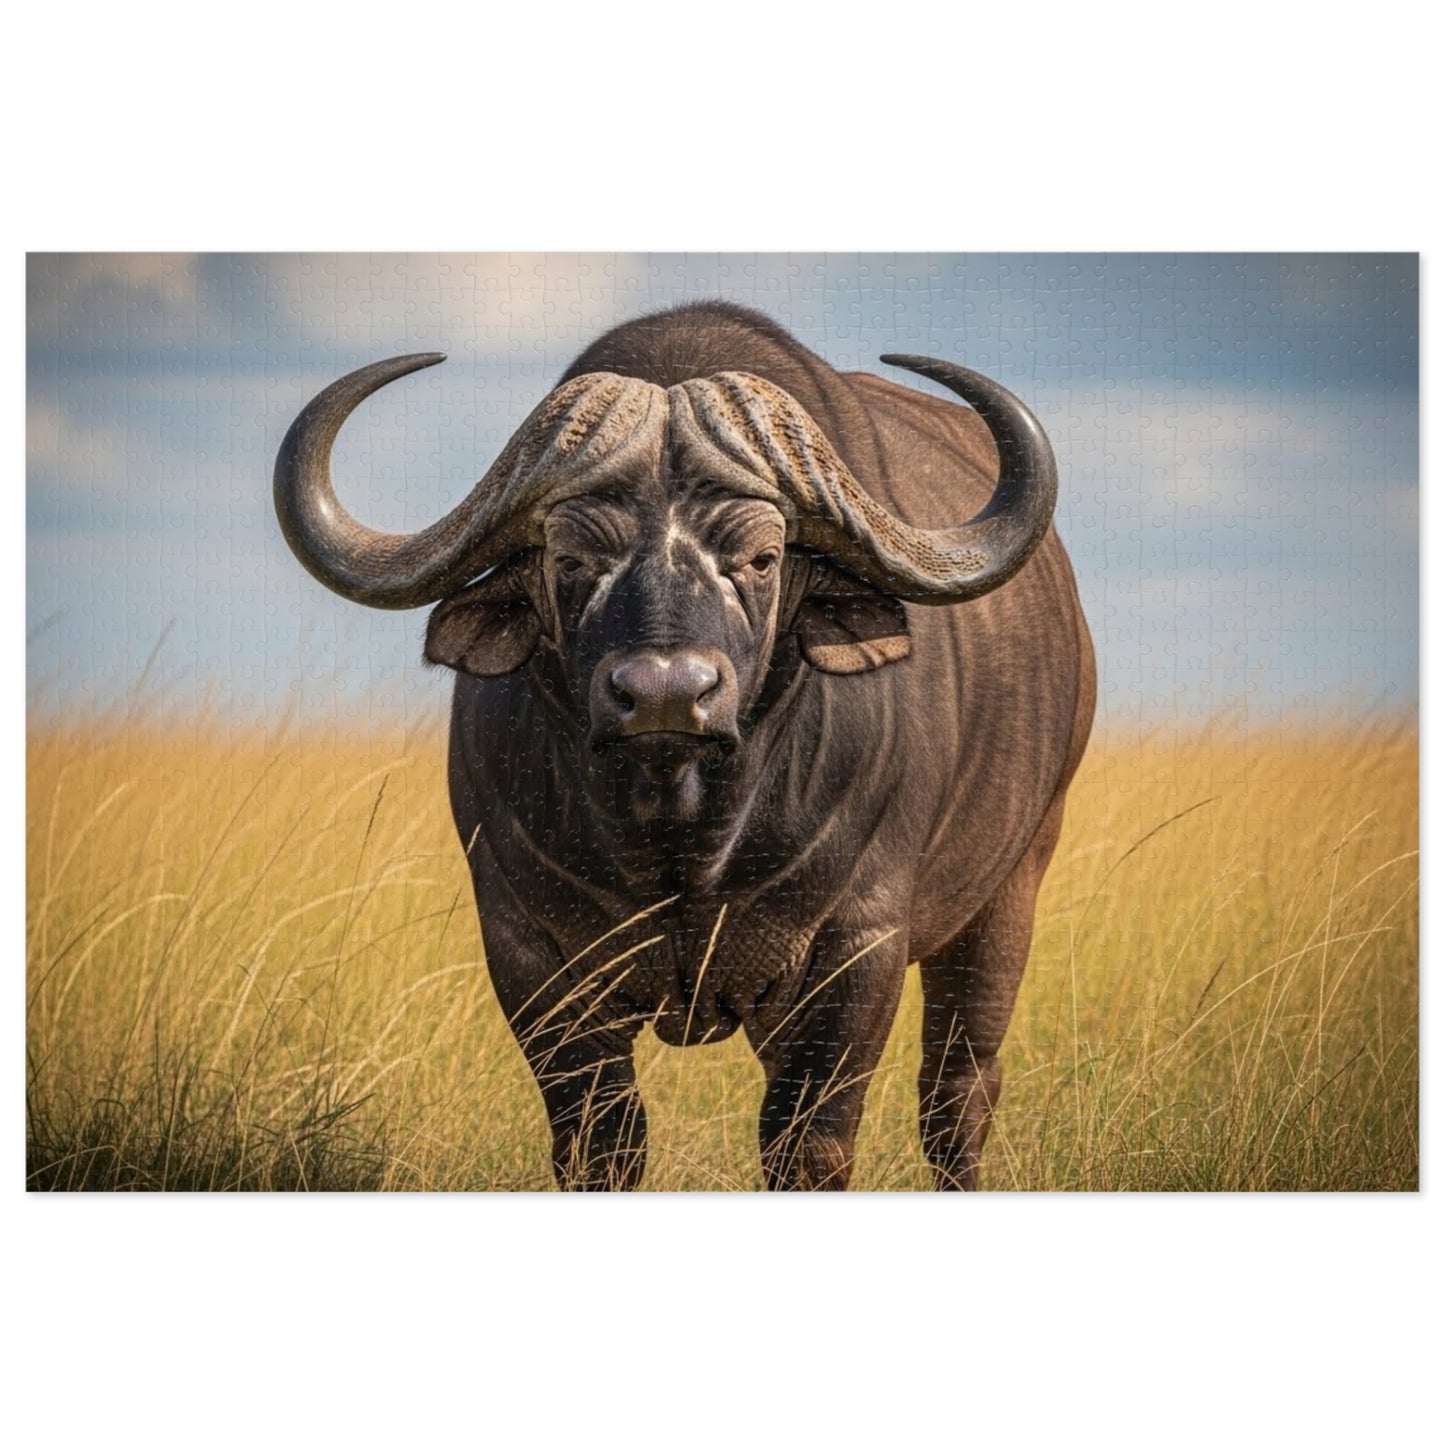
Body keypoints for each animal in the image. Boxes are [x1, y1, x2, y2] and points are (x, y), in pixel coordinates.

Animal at [274, 302, 1095, 1190]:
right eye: (571, 558)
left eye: (762, 557)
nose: (665, 693)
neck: (681, 836)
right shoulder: (525, 949)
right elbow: (600, 1142)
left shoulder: (859, 944)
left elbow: (807, 1141)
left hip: (1014, 883)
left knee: (957, 1092)